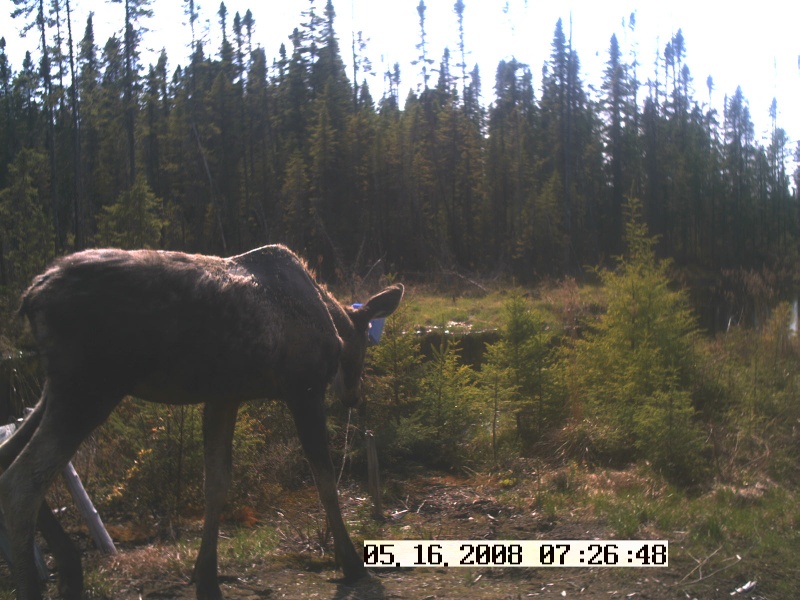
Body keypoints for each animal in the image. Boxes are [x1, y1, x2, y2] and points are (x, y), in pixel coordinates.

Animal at [0, 245, 400, 600]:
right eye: (365, 344)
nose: (354, 397)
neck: (332, 320)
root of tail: (32, 295)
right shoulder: (304, 389)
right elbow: (326, 480)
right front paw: (350, 561)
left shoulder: (223, 397)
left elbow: (216, 483)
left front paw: (205, 577)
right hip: (89, 390)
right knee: (22, 480)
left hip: (55, 391)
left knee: (9, 453)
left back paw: (70, 570)